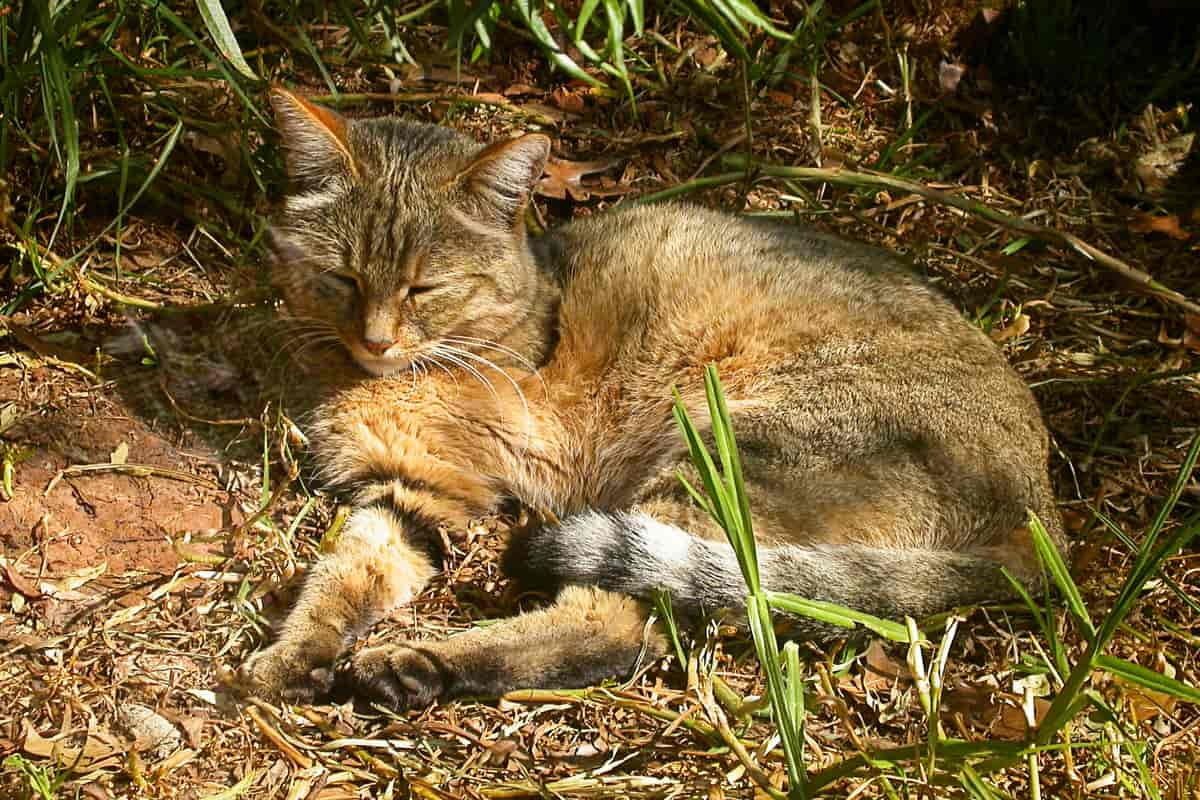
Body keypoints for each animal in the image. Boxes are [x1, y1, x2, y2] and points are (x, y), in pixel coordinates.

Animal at [238, 87, 1065, 710]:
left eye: (423, 288)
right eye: (343, 278)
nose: (376, 340)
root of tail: (1041, 519)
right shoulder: (412, 489)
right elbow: (342, 573)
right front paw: (292, 653)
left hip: (724, 451)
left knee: (625, 620)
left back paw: (420, 665)